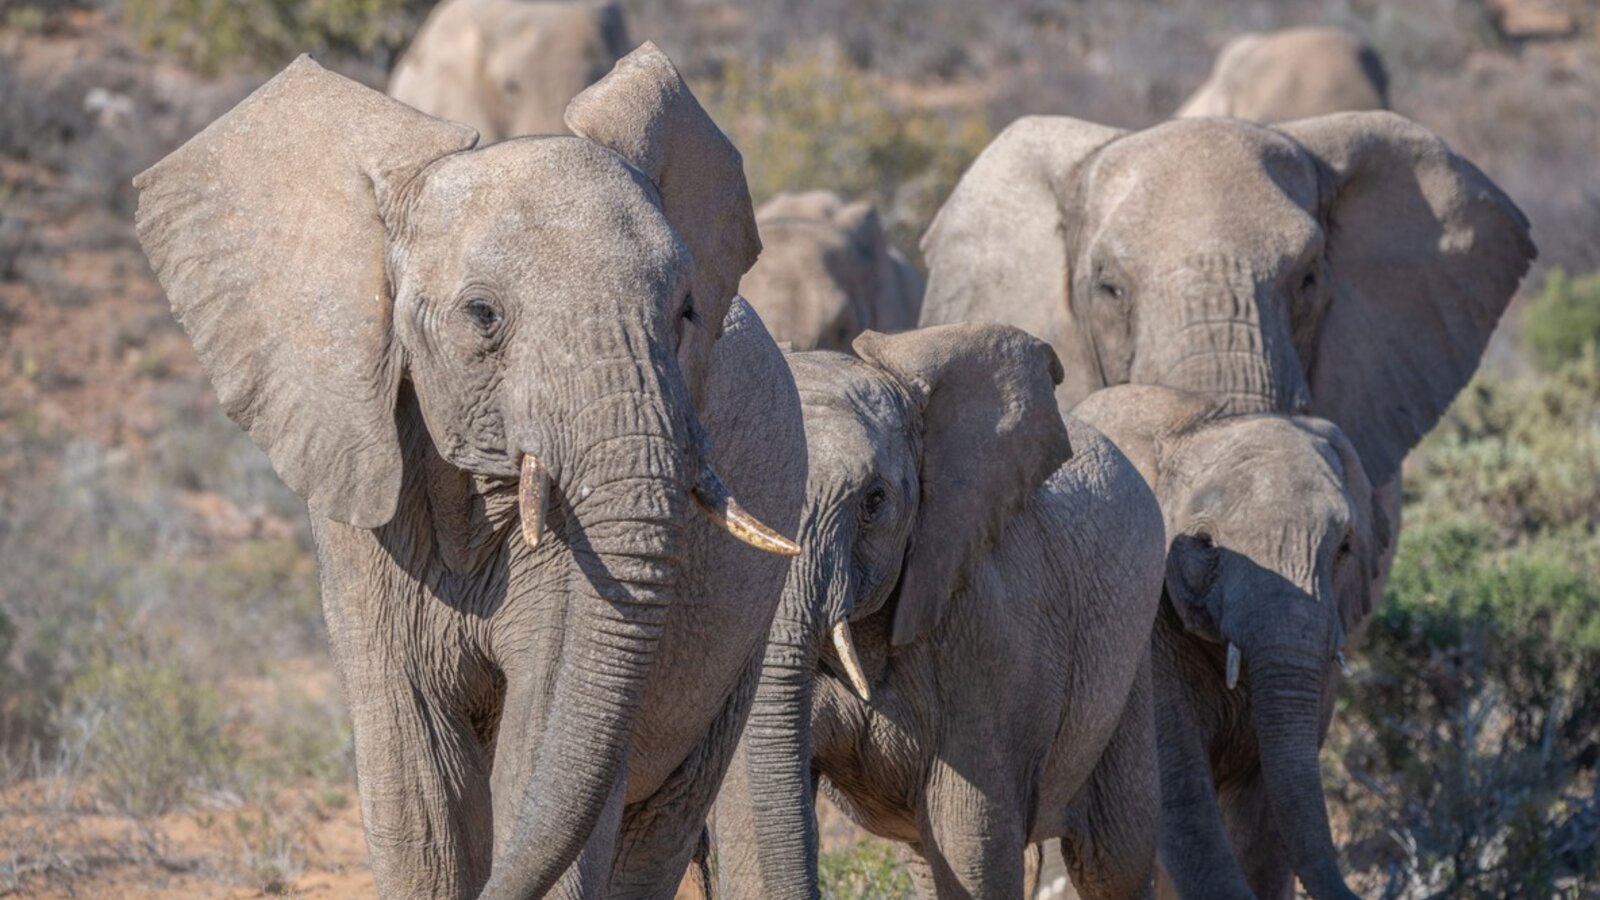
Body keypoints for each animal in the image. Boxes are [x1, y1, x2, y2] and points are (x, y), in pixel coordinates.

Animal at [713, 323, 1169, 899]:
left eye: (874, 501)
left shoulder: (991, 637)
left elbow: (969, 840)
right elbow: (749, 819)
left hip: (1129, 661)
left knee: (1116, 858)